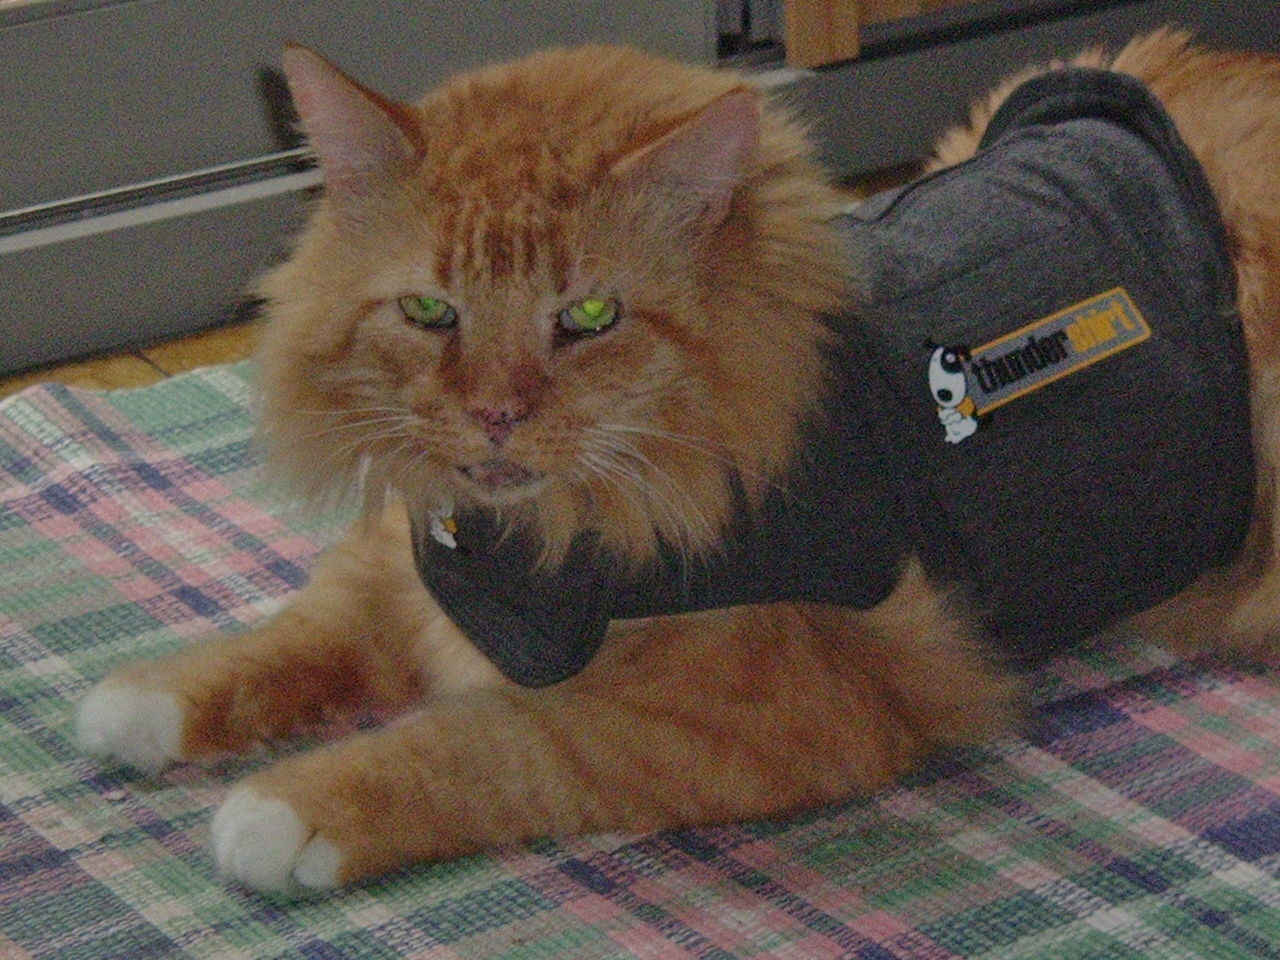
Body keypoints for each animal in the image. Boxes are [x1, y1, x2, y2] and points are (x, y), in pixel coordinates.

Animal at [75, 30, 1280, 894]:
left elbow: (482, 743)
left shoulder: (760, 715)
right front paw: (143, 702)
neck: (541, 537)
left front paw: (287, 811)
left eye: (587, 317)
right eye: (428, 312)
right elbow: (290, 639)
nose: (494, 415)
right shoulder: (406, 564)